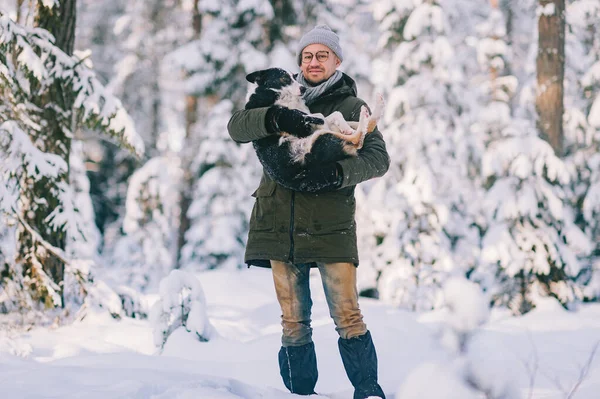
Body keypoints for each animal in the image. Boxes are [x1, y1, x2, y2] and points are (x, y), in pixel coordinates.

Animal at [245, 68, 382, 187]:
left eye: (294, 77)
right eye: (284, 78)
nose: (303, 88)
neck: (274, 93)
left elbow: (336, 114)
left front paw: (345, 125)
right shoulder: (303, 122)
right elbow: (326, 115)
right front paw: (345, 127)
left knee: (365, 129)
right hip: (319, 138)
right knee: (357, 138)